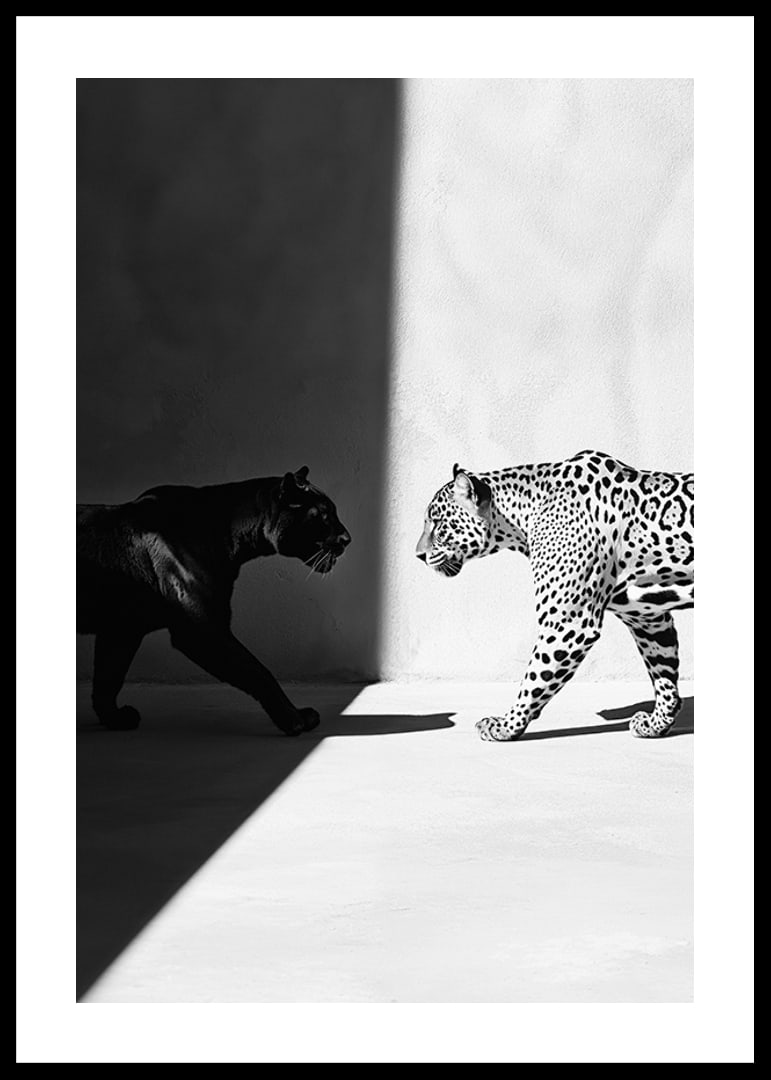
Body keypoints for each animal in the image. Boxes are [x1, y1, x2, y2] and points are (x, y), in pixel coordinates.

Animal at [416, 450, 693, 741]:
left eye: (438, 523)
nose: (419, 555)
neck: (521, 517)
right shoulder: (646, 617)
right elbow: (663, 672)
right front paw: (657, 723)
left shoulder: (568, 623)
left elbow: (534, 678)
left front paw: (507, 725)